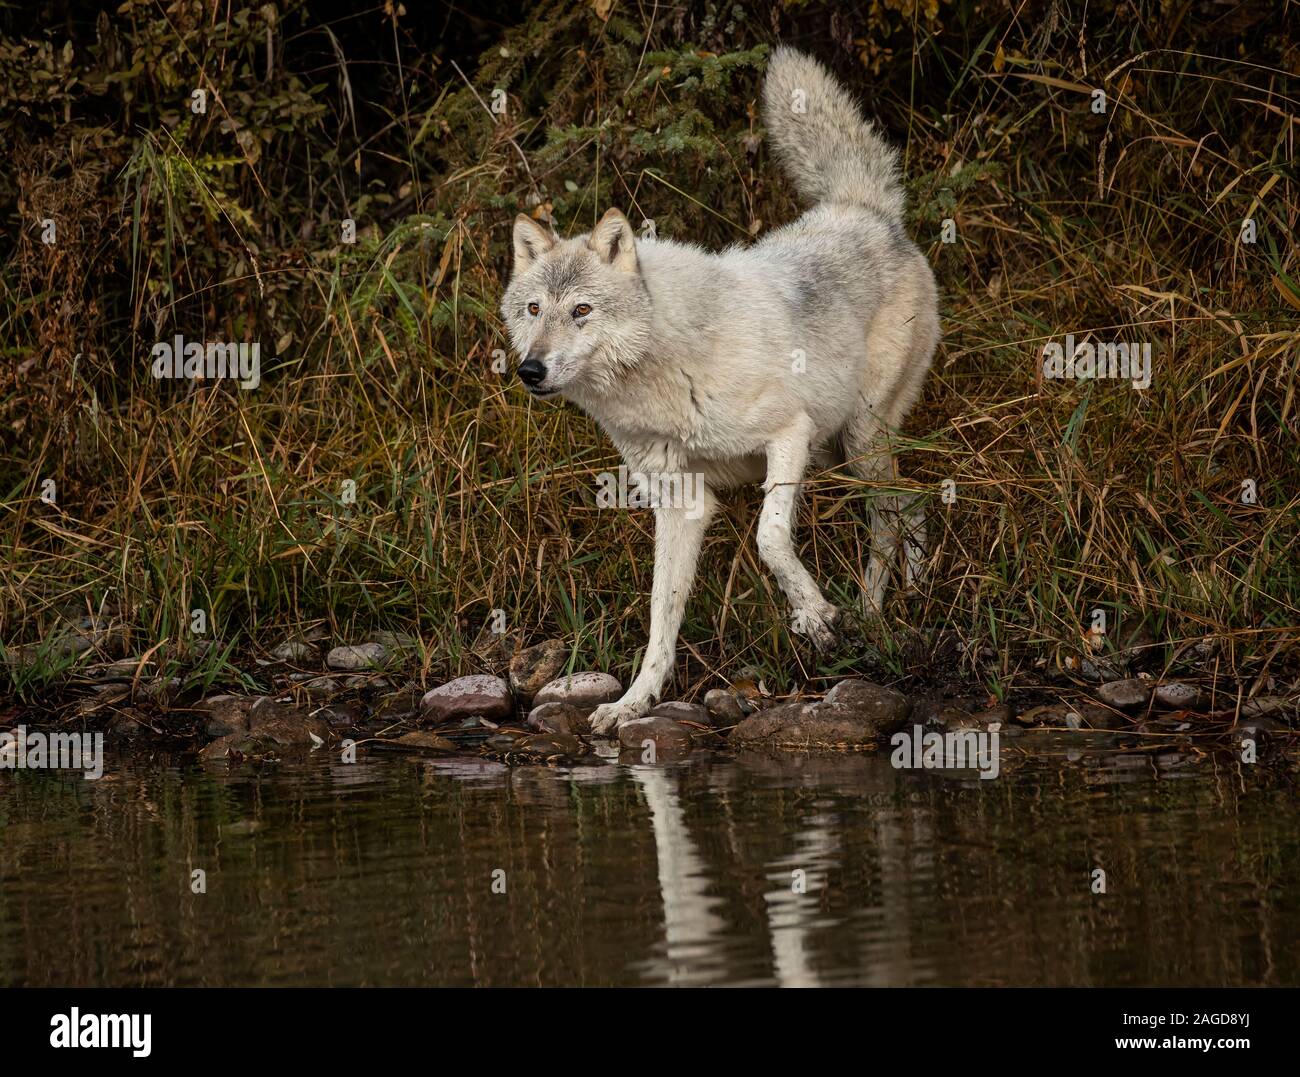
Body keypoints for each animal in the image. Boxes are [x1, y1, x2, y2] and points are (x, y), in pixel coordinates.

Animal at [501, 47, 940, 733]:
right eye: (533, 309)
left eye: (581, 311)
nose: (531, 370)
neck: (662, 371)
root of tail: (861, 208)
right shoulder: (681, 502)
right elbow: (661, 616)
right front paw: (633, 702)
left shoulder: (788, 434)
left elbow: (770, 538)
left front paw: (818, 616)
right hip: (845, 451)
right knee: (912, 502)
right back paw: (907, 593)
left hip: (860, 439)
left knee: (892, 516)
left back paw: (870, 613)